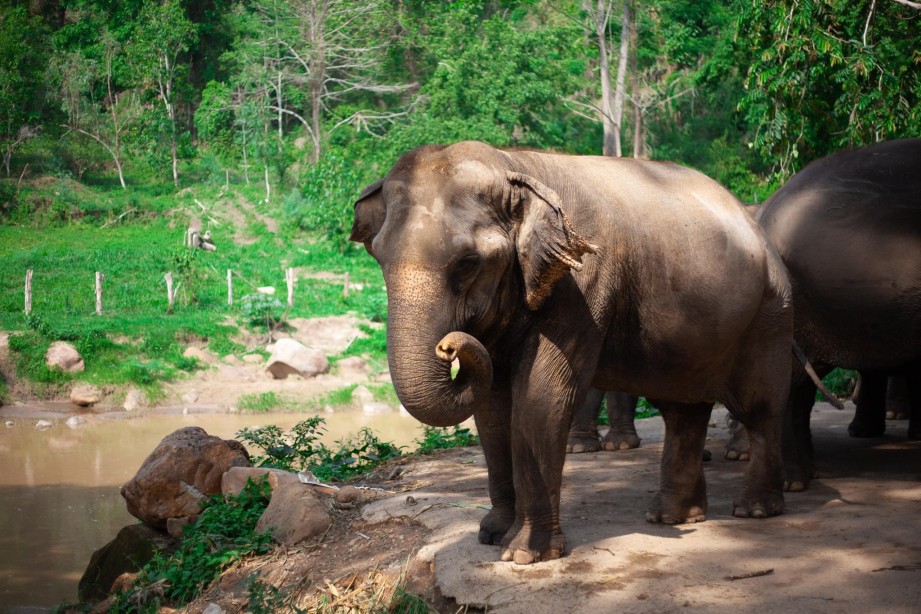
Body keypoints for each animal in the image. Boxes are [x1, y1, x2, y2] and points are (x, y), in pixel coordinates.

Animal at [350, 141, 794, 565]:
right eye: (379, 257)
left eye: (468, 263)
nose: (448, 346)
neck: (514, 166)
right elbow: (492, 409)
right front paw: (491, 535)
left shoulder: (582, 282)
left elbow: (540, 398)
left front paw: (524, 554)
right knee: (682, 411)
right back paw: (673, 517)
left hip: (770, 314)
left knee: (760, 408)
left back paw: (754, 509)